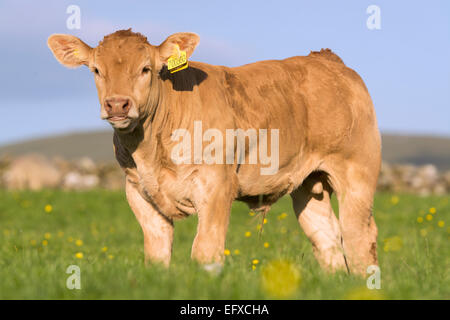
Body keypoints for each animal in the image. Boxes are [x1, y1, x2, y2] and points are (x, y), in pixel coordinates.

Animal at [48, 29, 380, 276]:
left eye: (145, 69)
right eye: (96, 70)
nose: (117, 104)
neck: (152, 150)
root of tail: (326, 58)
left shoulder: (217, 184)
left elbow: (205, 250)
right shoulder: (138, 191)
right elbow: (156, 253)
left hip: (356, 172)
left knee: (358, 235)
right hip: (309, 183)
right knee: (326, 236)